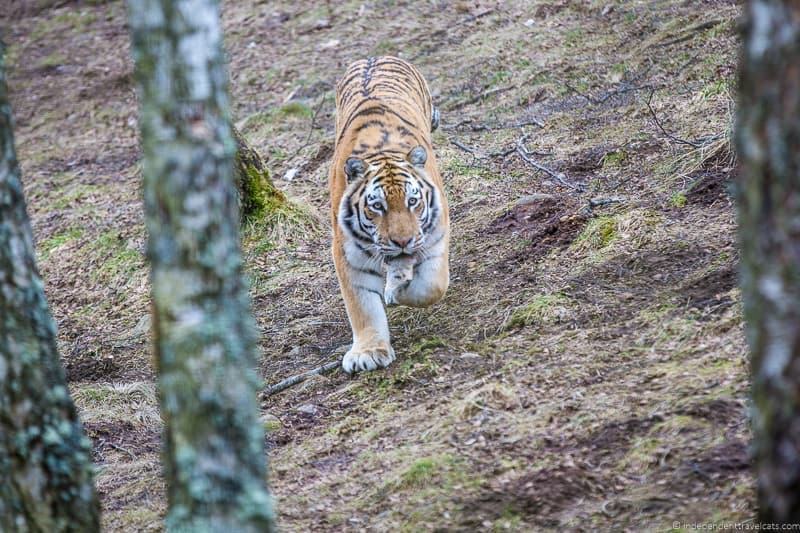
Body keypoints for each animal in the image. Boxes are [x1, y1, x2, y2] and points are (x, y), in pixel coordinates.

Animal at [328, 56, 446, 374]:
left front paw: (398, 292)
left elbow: (431, 286)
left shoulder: (435, 236)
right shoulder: (347, 253)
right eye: (377, 206)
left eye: (413, 201)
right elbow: (362, 307)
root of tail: (374, 56)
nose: (403, 241)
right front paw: (368, 352)